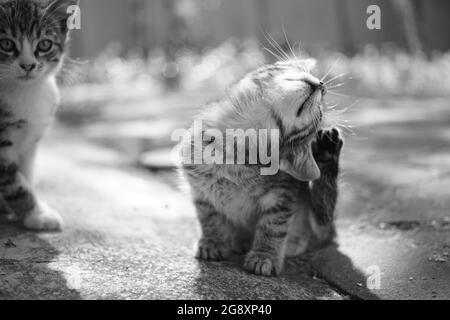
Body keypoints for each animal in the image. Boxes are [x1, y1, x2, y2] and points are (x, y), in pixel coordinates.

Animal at [0, 0, 78, 230]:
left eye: (44, 44)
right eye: (6, 43)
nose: (28, 65)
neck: (24, 91)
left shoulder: (31, 139)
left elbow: (26, 173)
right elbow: (14, 183)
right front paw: (37, 214)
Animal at [181, 58, 342, 276]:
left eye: (319, 112)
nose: (323, 85)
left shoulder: (282, 195)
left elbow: (272, 227)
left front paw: (264, 255)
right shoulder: (200, 191)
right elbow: (210, 219)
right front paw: (212, 241)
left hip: (320, 224)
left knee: (324, 213)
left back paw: (327, 153)